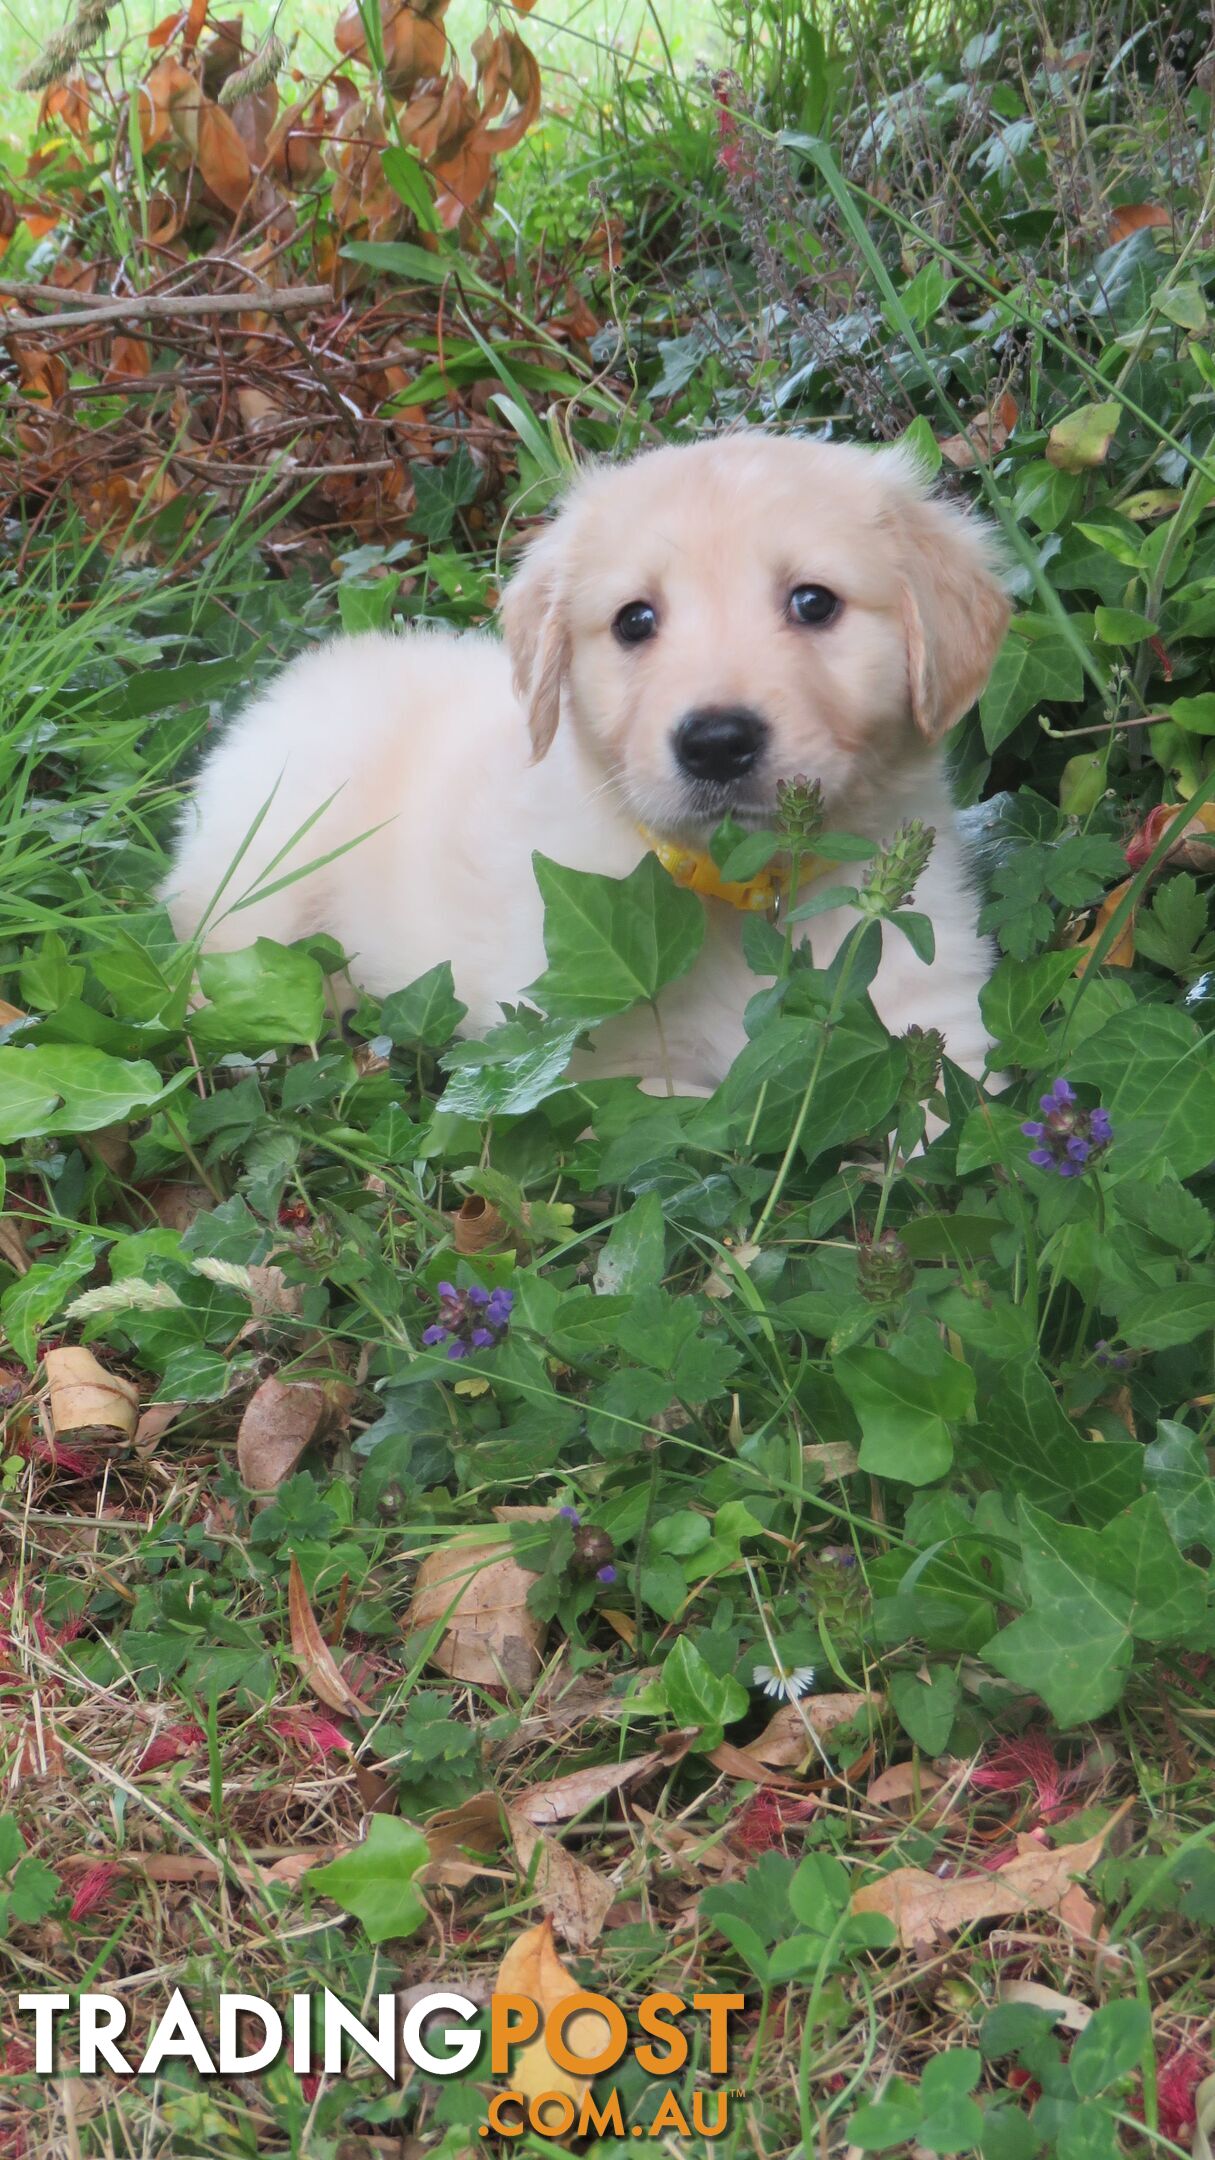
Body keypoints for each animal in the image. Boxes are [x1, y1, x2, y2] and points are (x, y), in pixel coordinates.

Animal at [165, 438, 1007, 1088]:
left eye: (813, 602)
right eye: (634, 621)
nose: (714, 742)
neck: (742, 890)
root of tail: (296, 679)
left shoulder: (935, 1018)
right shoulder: (577, 1058)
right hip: (264, 874)